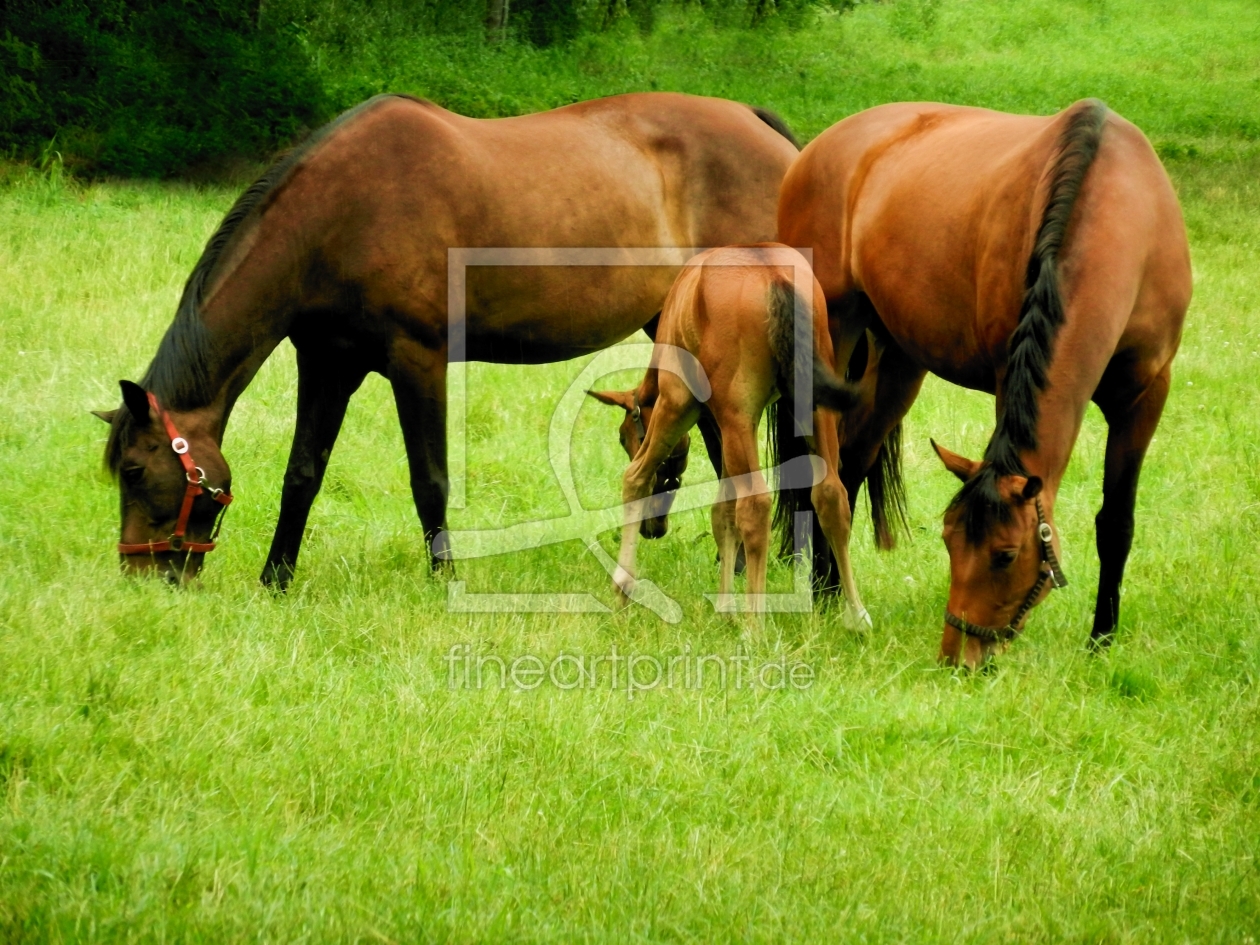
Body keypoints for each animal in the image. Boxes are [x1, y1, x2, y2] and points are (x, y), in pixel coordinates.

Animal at [93, 92, 791, 589]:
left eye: (134, 469)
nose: (141, 575)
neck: (338, 214)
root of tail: (760, 128)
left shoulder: (417, 361)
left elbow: (429, 478)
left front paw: (443, 577)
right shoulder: (326, 363)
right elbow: (303, 474)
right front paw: (276, 579)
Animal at [599, 248, 866, 624]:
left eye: (625, 438)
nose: (653, 528)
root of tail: (773, 275)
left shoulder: (678, 403)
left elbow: (636, 477)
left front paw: (623, 588)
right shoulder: (732, 428)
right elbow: (722, 511)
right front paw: (724, 609)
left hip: (728, 414)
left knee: (755, 505)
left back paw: (755, 624)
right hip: (812, 409)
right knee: (831, 494)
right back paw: (856, 617)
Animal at [776, 100, 1189, 670]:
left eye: (1005, 555)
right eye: (949, 543)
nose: (958, 656)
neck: (1119, 211)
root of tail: (818, 149)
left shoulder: (1146, 396)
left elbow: (1116, 523)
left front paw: (1101, 640)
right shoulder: (1004, 375)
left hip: (898, 363)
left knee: (855, 461)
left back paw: (833, 592)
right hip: (830, 335)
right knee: (825, 473)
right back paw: (822, 597)